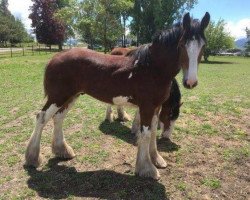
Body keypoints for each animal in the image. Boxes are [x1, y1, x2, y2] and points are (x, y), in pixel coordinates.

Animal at [24, 12, 209, 180]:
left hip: (71, 96)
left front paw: (156, 159)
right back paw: (33, 158)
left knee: (58, 118)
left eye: (203, 46)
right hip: (58, 97)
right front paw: (147, 169)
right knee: (41, 117)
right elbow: (146, 133)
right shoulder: (147, 107)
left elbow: (152, 134)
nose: (190, 82)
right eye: (182, 44)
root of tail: (54, 58)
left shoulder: (156, 107)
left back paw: (62, 151)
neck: (152, 68)